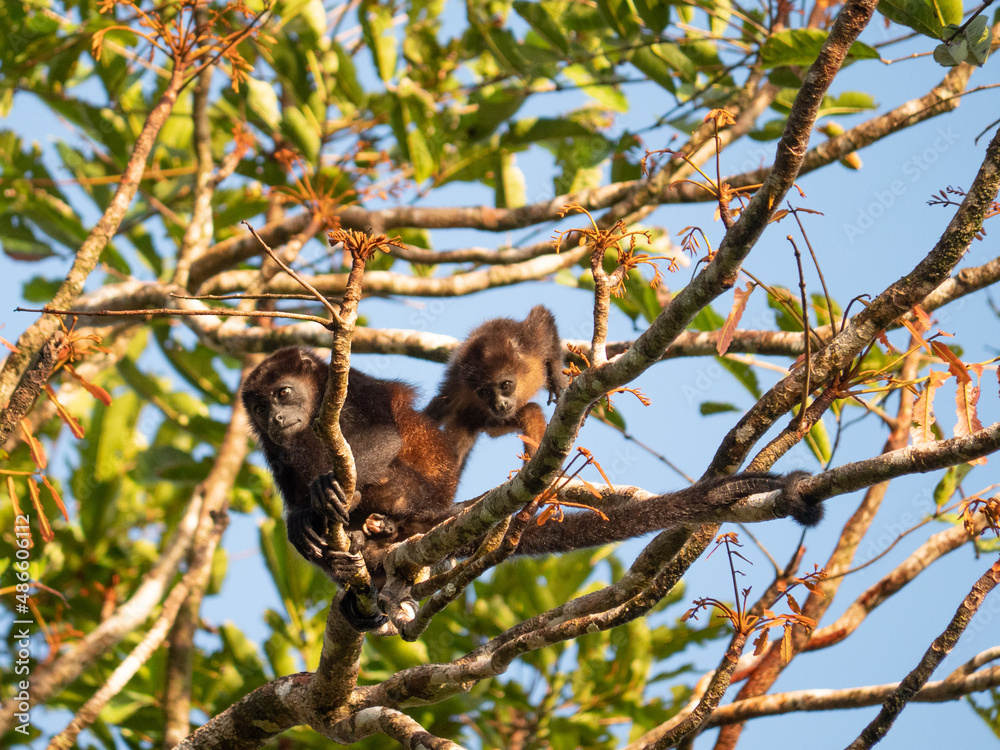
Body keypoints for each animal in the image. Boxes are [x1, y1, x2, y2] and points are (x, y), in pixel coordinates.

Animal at [425, 305, 568, 467]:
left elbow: (542, 315)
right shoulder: (457, 382)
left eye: (506, 385)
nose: (500, 404)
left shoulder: (531, 346)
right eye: (485, 393)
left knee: (531, 411)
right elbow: (441, 406)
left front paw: (557, 380)